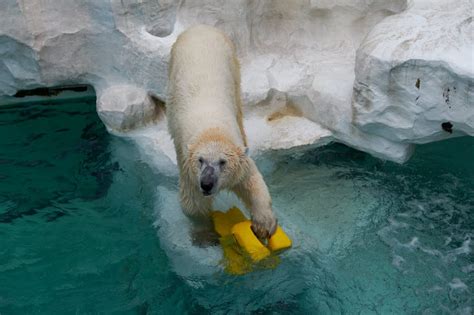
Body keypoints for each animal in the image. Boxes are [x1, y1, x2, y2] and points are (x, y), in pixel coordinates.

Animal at [168, 25, 276, 239]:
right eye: (200, 160)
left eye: (222, 162)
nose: (207, 183)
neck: (212, 129)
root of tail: (200, 27)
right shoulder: (188, 168)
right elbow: (193, 204)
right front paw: (205, 234)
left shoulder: (238, 152)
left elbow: (252, 181)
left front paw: (264, 225)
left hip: (232, 66)